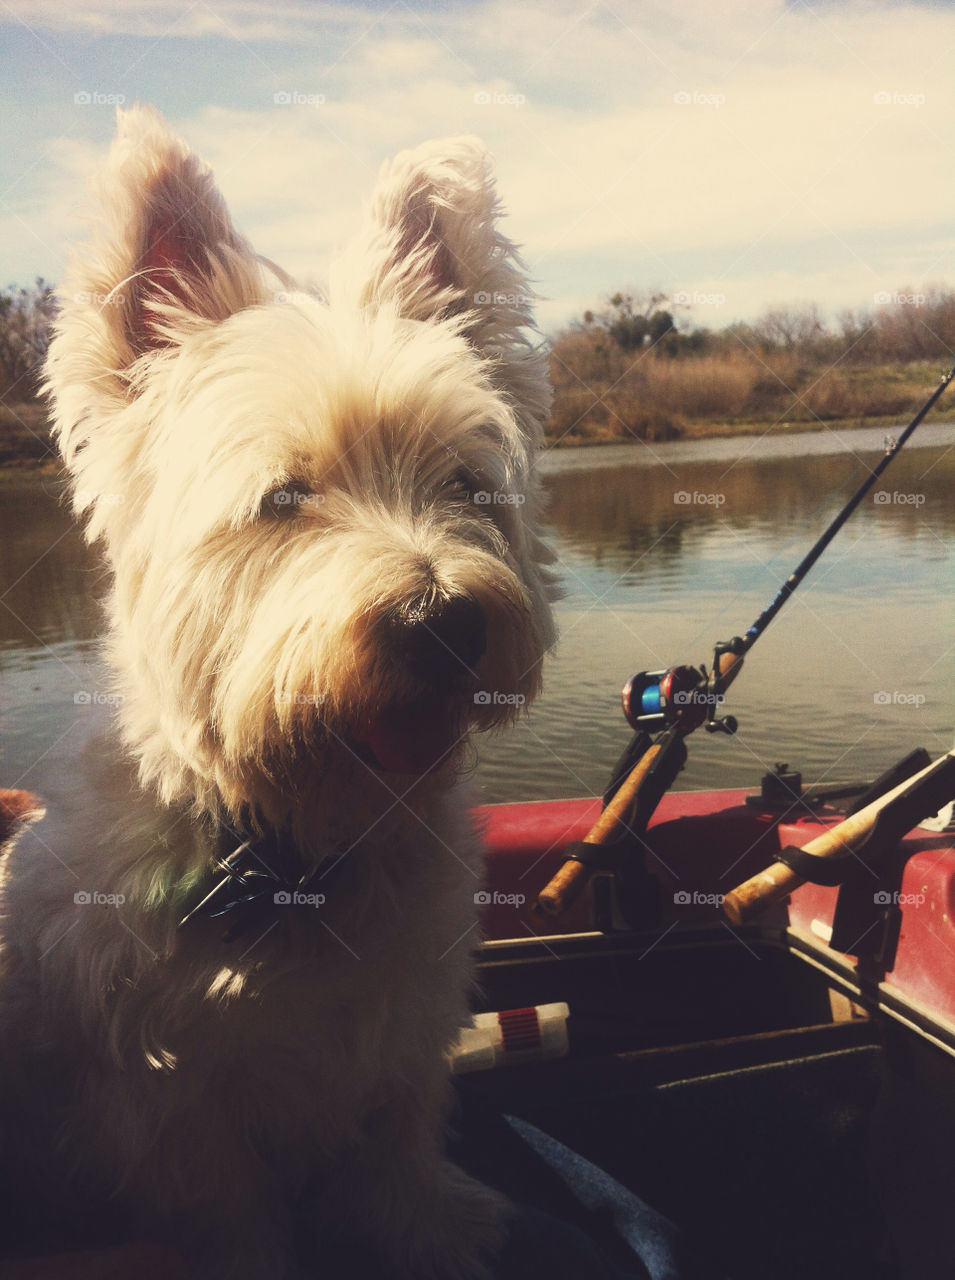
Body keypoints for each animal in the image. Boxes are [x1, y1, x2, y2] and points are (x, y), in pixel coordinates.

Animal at [0, 104, 555, 1274]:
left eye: (464, 483)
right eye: (284, 497)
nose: (444, 623)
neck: (299, 848)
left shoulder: (402, 1041)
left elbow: (397, 1167)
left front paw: (432, 1232)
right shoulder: (168, 1110)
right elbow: (230, 1220)